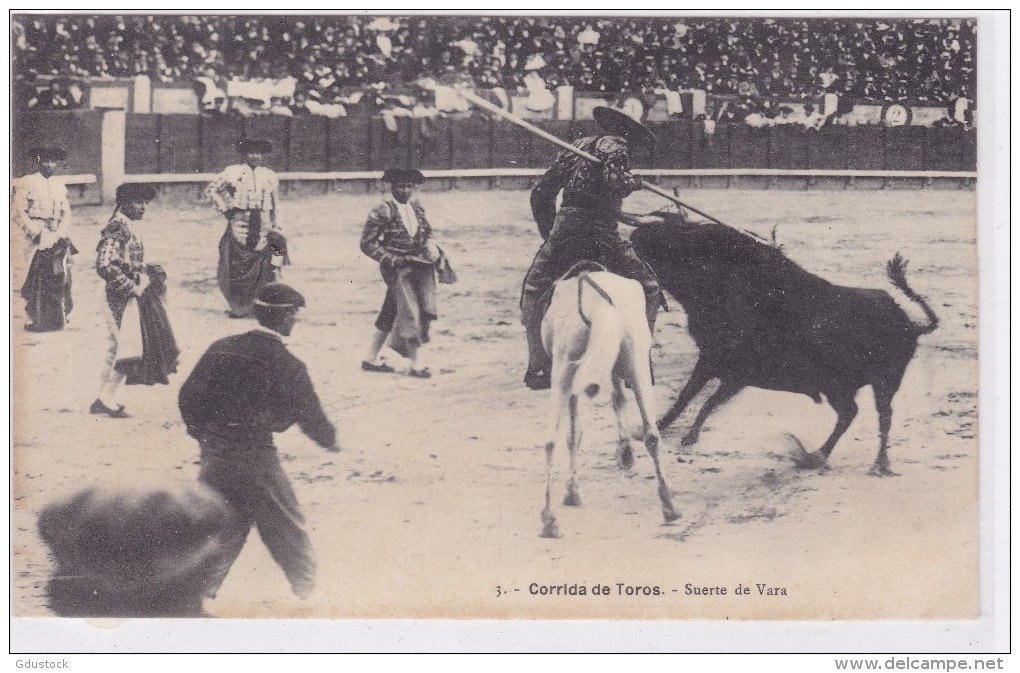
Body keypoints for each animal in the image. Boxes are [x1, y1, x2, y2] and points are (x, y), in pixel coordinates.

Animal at [542, 271, 677, 538]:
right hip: (637, 365)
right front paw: (625, 453)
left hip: (562, 370)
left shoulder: (573, 377)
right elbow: (617, 399)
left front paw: (572, 492)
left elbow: (574, 435)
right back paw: (669, 506)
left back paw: (549, 521)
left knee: (551, 441)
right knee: (652, 434)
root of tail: (599, 304)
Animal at [628, 213, 938, 475]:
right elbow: (692, 397)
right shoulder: (719, 365)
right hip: (845, 387)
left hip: (879, 382)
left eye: (687, 240)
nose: (638, 232)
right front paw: (667, 430)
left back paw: (872, 463)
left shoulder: (729, 368)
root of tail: (910, 324)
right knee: (853, 414)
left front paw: (680, 434)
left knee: (878, 416)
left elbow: (702, 399)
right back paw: (819, 456)